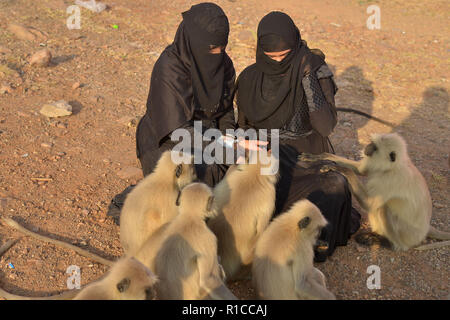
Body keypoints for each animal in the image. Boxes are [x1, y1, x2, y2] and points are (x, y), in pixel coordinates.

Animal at [298, 132, 450, 250]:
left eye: (375, 147)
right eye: (372, 143)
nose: (368, 146)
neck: (392, 167)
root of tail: (426, 228)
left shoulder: (390, 180)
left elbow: (369, 203)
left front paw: (338, 168)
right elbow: (361, 170)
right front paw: (319, 157)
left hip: (408, 236)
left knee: (384, 208)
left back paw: (389, 243)